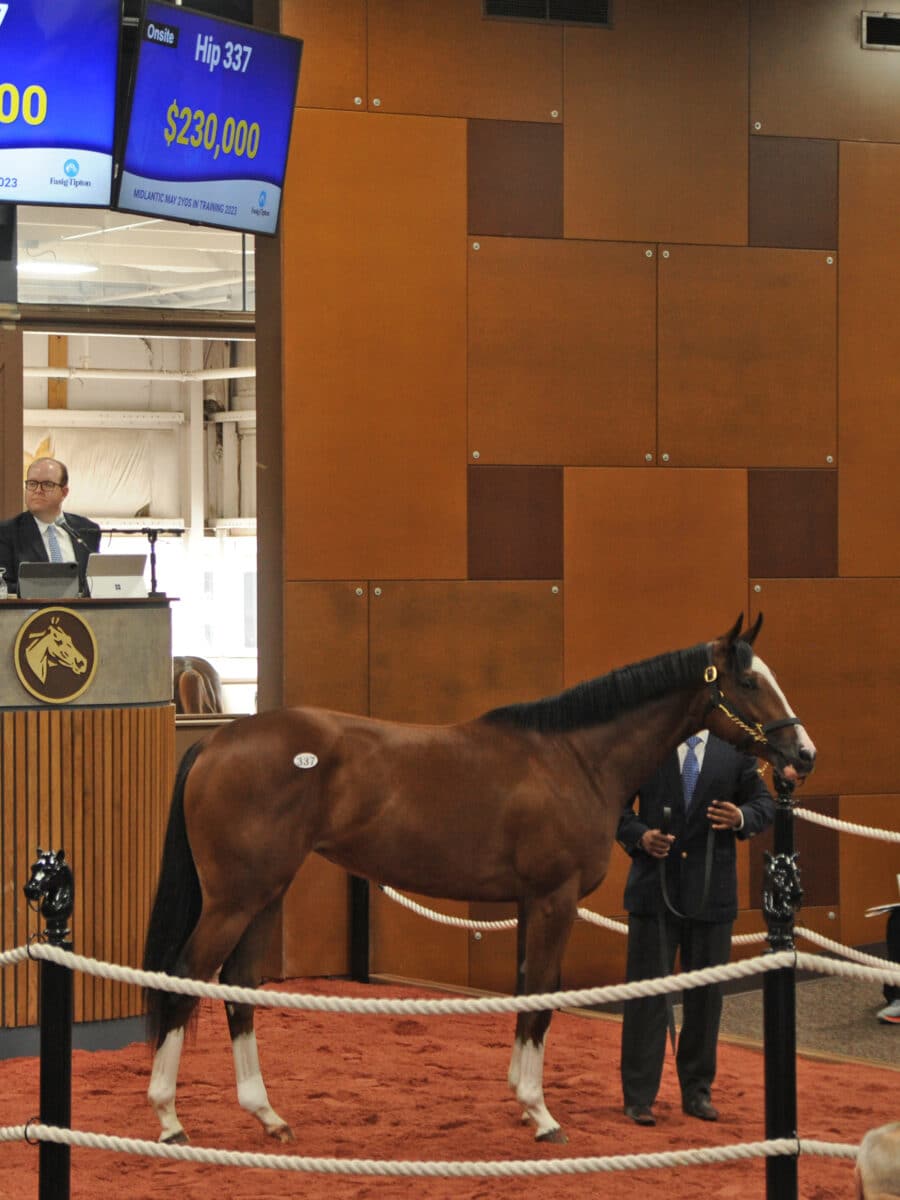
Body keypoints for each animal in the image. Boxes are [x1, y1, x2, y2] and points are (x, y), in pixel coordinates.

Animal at [142, 619, 816, 1142]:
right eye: (750, 682)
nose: (803, 755)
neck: (575, 758)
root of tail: (215, 744)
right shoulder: (554, 901)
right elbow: (542, 996)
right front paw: (541, 1114)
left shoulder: (528, 904)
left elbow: (525, 994)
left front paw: (522, 1098)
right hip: (234, 900)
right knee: (184, 975)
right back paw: (169, 1118)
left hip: (263, 895)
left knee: (238, 988)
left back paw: (266, 1116)